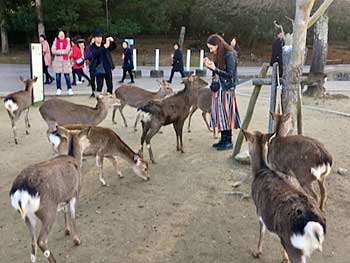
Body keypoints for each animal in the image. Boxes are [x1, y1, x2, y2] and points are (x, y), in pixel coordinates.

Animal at [9, 127, 90, 262]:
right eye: (84, 137)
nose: (89, 144)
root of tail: (20, 191)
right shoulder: (74, 194)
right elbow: (72, 215)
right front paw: (77, 240)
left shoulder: (63, 197)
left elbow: (64, 211)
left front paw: (67, 231)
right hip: (48, 210)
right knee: (41, 240)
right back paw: (54, 260)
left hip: (27, 216)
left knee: (32, 243)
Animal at [242, 131, 326, 263]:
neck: (260, 172)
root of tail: (314, 226)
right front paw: (284, 258)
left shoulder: (259, 211)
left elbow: (262, 231)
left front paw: (257, 252)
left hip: (295, 247)